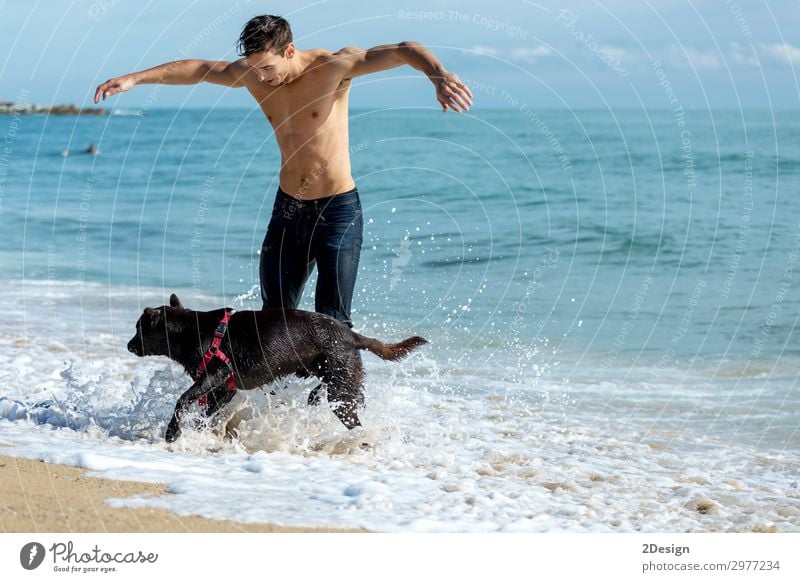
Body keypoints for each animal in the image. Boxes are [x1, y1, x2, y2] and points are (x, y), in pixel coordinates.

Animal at [126, 296, 424, 442]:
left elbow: (183, 399)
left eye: (139, 329)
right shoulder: (224, 390)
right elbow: (206, 412)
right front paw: (198, 432)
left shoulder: (216, 373)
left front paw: (173, 433)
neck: (191, 331)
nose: (129, 345)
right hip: (333, 374)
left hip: (340, 387)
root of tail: (352, 336)